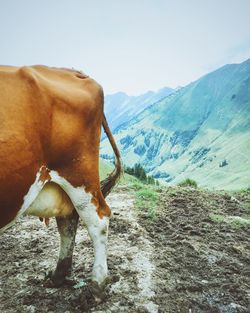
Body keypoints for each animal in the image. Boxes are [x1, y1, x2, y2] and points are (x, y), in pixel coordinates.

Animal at [0, 65, 122, 288]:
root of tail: (74, 72)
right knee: (68, 220)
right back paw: (59, 275)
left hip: (79, 175)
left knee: (98, 218)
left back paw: (98, 282)